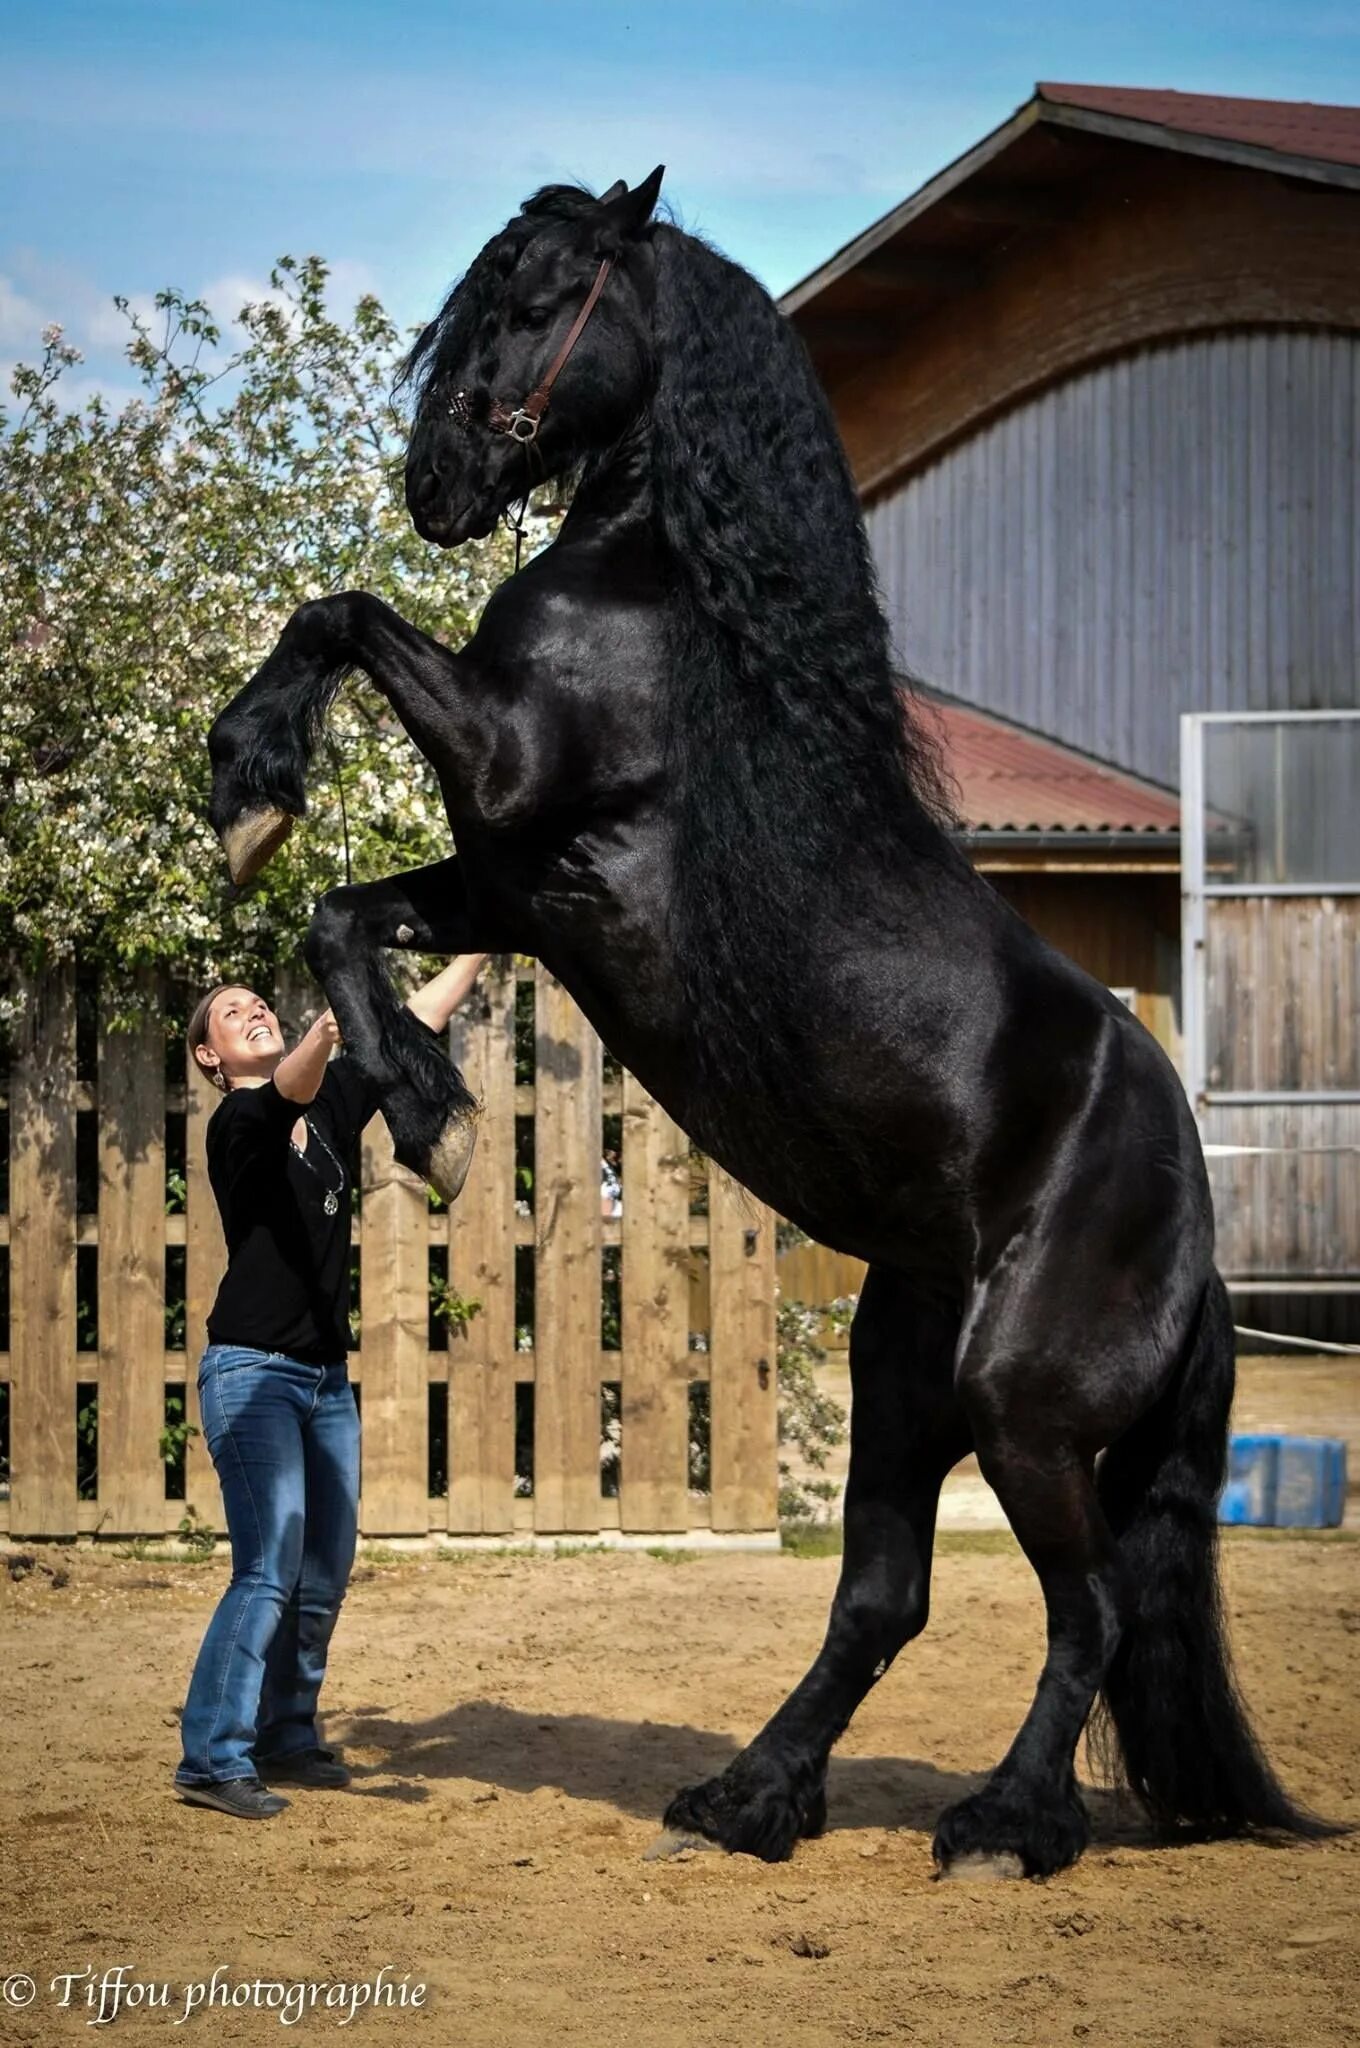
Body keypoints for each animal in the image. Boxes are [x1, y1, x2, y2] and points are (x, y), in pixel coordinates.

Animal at [206, 172, 1335, 1875]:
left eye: (540, 297)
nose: (436, 481)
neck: (664, 607)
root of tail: (1193, 1228)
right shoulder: (512, 886)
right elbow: (341, 914)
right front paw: (423, 1103)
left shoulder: (515, 792)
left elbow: (342, 612)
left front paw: (253, 780)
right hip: (903, 1373)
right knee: (886, 1599)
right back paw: (747, 1799)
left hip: (1019, 1408)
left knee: (1090, 1611)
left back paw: (1002, 1821)